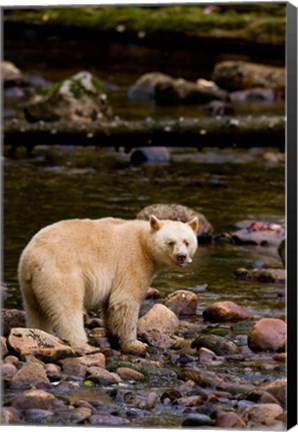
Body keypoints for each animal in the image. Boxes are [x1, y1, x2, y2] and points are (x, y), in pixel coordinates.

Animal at [18, 216, 198, 354]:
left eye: (187, 242)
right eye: (170, 242)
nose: (181, 256)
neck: (144, 243)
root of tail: (31, 258)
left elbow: (111, 306)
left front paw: (114, 337)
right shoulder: (132, 261)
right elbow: (125, 300)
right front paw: (135, 344)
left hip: (31, 284)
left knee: (36, 312)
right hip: (60, 273)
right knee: (67, 308)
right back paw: (83, 345)